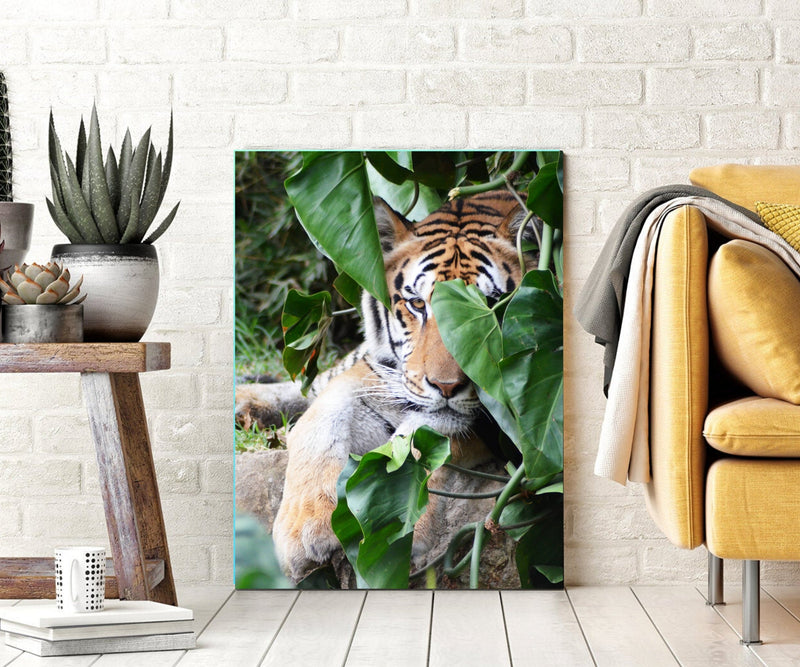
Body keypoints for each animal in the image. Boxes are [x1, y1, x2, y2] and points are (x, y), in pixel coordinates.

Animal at [235, 191, 538, 582]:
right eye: (418, 304)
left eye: (491, 306)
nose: (446, 387)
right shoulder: (377, 373)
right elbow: (321, 420)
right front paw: (304, 529)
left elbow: (415, 442)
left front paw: (399, 530)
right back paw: (244, 402)